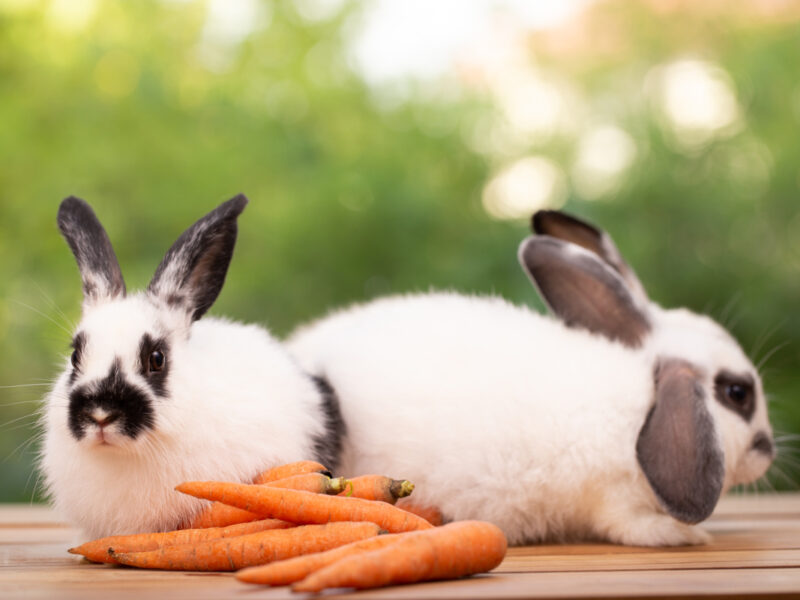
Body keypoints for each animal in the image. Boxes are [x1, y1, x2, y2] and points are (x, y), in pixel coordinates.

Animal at [290, 211, 780, 548]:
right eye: (737, 393)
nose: (768, 451)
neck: (644, 405)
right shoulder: (615, 498)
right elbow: (638, 528)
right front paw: (688, 535)